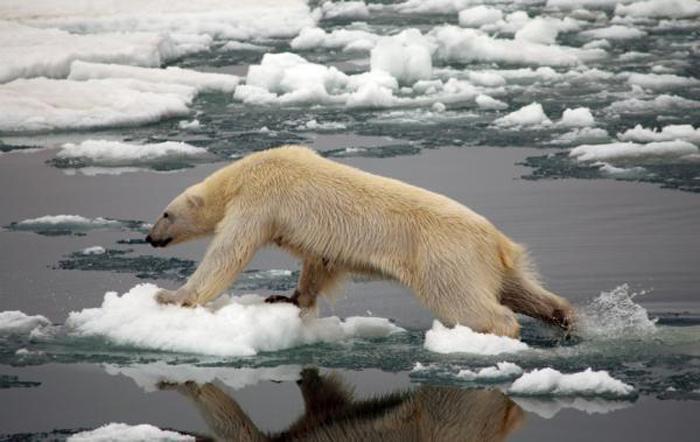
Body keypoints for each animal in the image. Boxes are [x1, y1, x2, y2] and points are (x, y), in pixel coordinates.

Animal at [148, 143, 576, 336]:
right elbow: (317, 262)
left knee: (465, 300)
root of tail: (497, 240)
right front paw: (287, 298)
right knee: (523, 290)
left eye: (165, 213)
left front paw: (171, 295)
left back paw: (496, 330)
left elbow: (228, 252)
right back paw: (564, 317)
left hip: (446, 256)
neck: (244, 173)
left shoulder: (261, 199)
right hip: (489, 261)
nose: (150, 237)